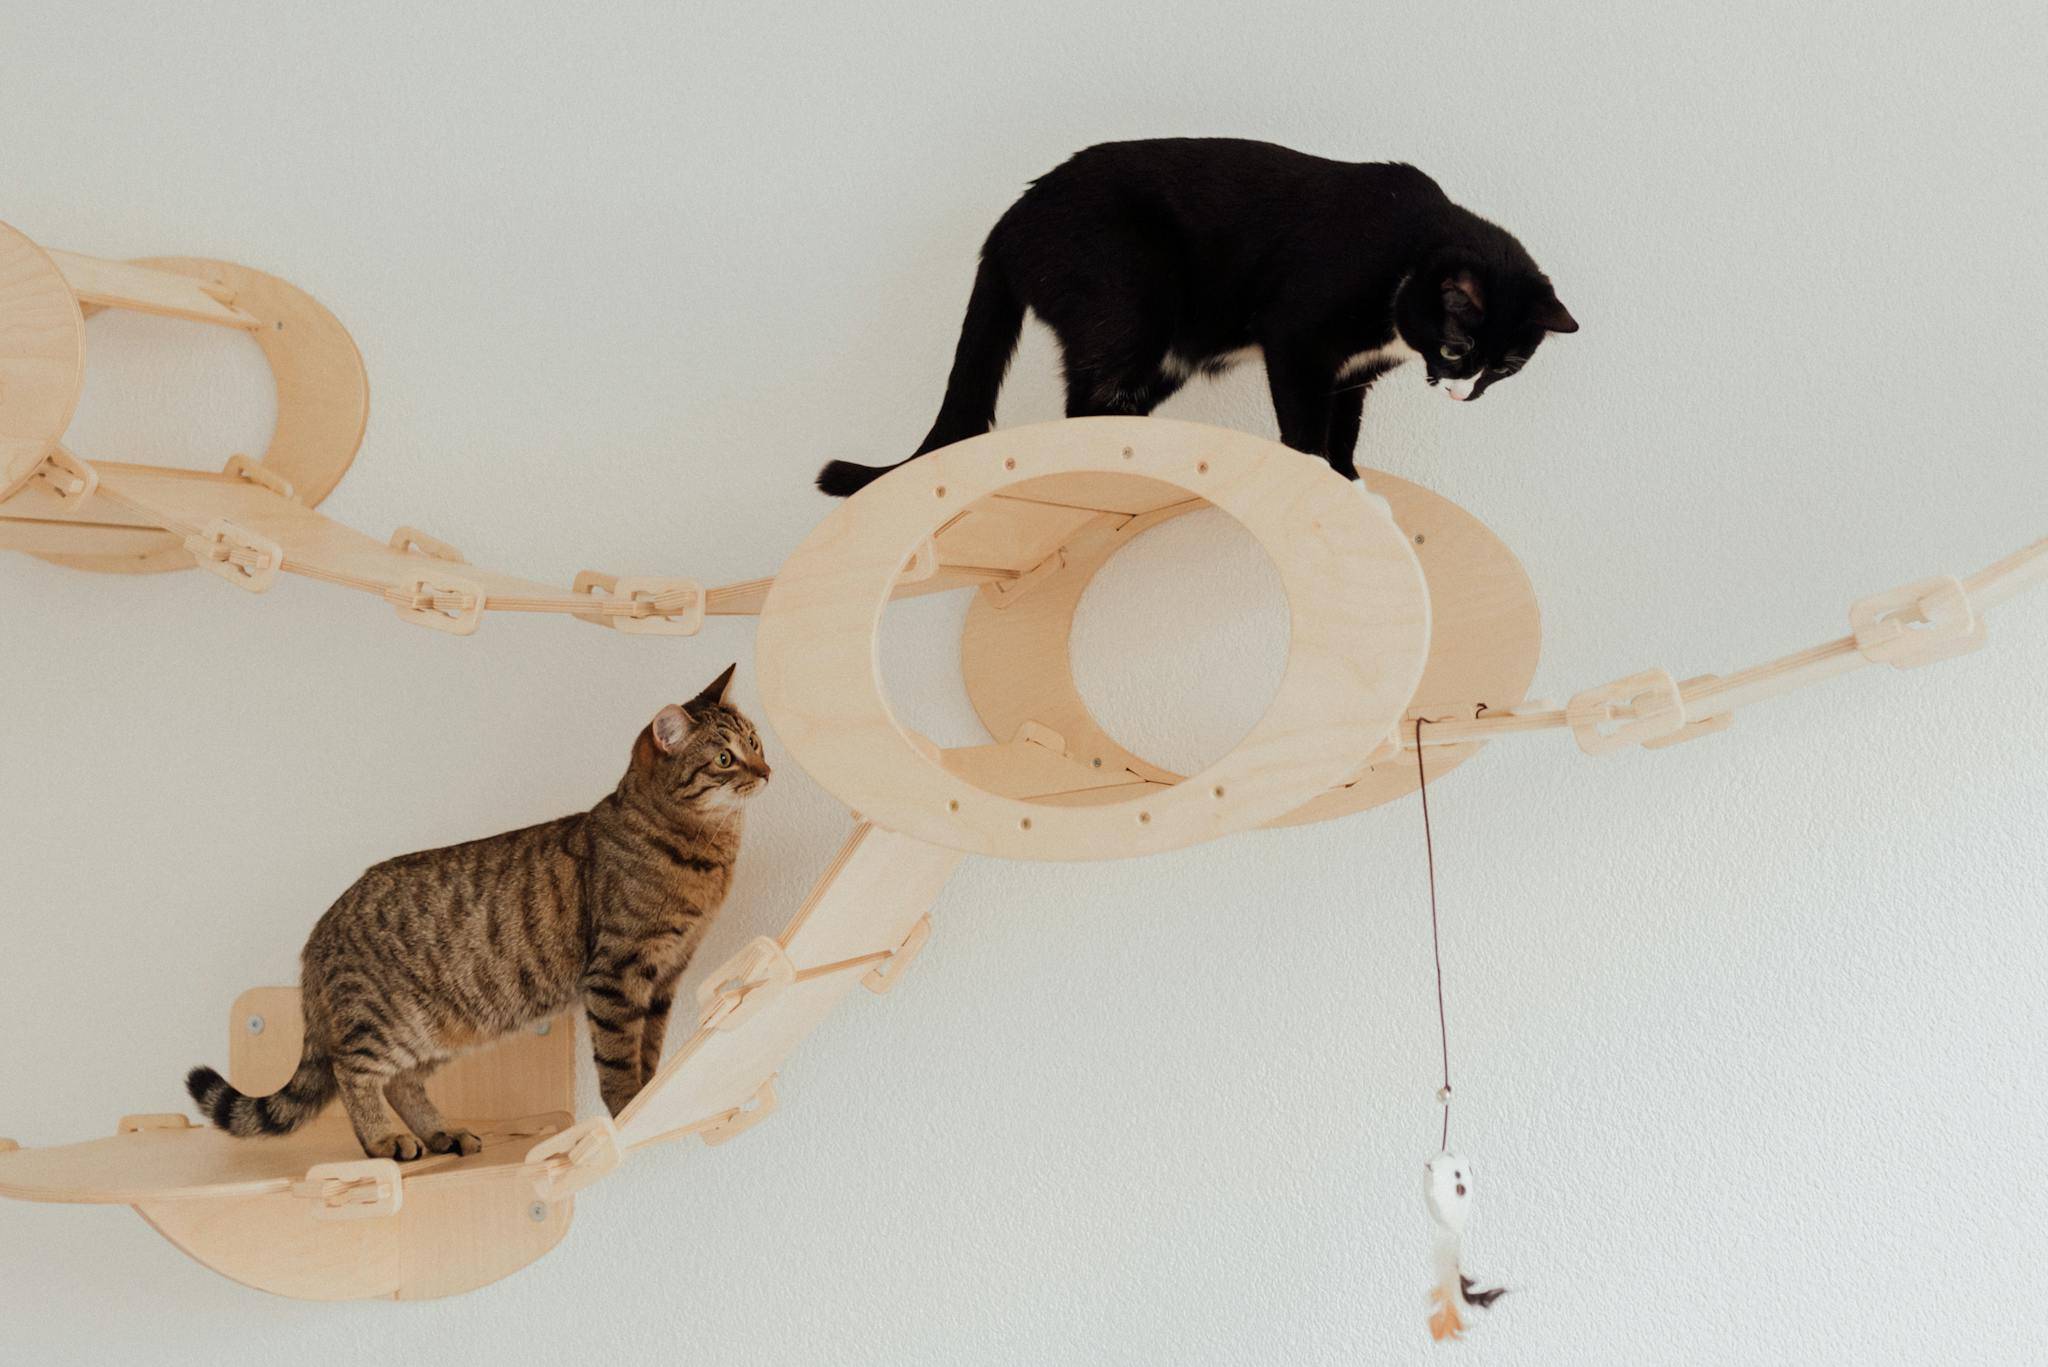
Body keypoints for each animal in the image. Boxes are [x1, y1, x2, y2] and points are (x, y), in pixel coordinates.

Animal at [186, 668, 770, 1164]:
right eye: (725, 759)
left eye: (757, 742)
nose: (767, 771)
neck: (704, 853)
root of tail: (320, 928)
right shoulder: (617, 973)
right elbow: (619, 1057)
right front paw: (630, 1110)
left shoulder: (666, 975)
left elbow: (649, 1048)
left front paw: (658, 1096)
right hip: (385, 1021)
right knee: (353, 1072)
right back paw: (382, 1141)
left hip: (442, 1027)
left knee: (401, 1082)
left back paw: (440, 1132)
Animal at [819, 137, 1581, 498]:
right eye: (1456, 347)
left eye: (1506, 367)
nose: (1462, 390)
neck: (1406, 252)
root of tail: (1010, 221)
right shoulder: (1297, 335)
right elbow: (1305, 422)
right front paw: (1316, 475)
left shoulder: (1352, 372)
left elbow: (1344, 427)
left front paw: (1349, 482)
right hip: (1124, 298)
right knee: (1085, 399)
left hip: (1164, 352)